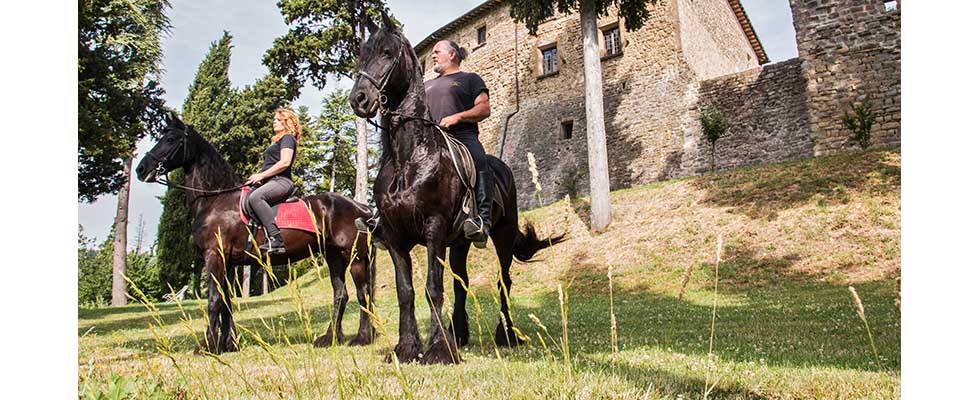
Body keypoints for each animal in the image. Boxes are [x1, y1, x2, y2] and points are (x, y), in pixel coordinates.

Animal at [138, 115, 378, 354]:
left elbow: (214, 300)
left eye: (170, 139)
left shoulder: (214, 256)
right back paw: (330, 338)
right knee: (341, 294)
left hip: (355, 256)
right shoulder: (227, 262)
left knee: (362, 293)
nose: (141, 169)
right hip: (334, 255)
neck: (216, 200)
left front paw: (207, 346)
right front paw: (228, 344)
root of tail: (361, 208)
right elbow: (226, 302)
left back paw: (361, 338)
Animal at [350, 12, 568, 364]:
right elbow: (406, 291)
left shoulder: (434, 229)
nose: (359, 99)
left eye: (386, 52)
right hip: (459, 243)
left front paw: (439, 350)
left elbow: (433, 289)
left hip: (501, 235)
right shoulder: (396, 237)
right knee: (461, 281)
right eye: (362, 53)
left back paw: (506, 334)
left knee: (503, 280)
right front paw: (407, 348)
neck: (409, 156)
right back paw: (460, 333)